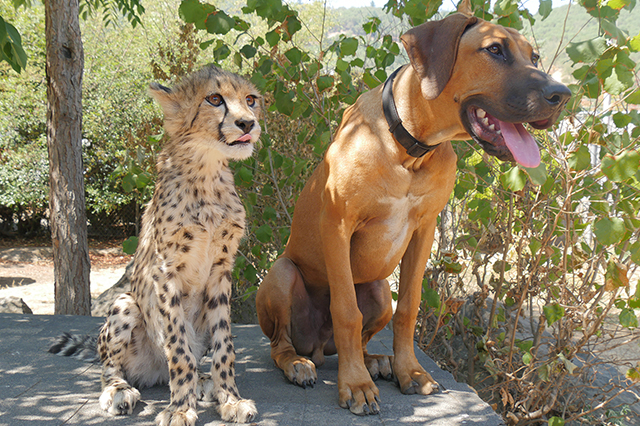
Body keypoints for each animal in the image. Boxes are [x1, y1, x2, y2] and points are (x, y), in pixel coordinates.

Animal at [255, 5, 568, 414]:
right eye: (495, 50)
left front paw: (410, 372)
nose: (562, 95)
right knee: (283, 344)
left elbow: (409, 308)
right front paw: (355, 384)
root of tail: (319, 348)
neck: (409, 147)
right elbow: (346, 311)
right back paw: (299, 364)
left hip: (377, 292)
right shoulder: (337, 224)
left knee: (361, 337)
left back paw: (375, 361)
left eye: (535, 58)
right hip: (281, 274)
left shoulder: (425, 229)